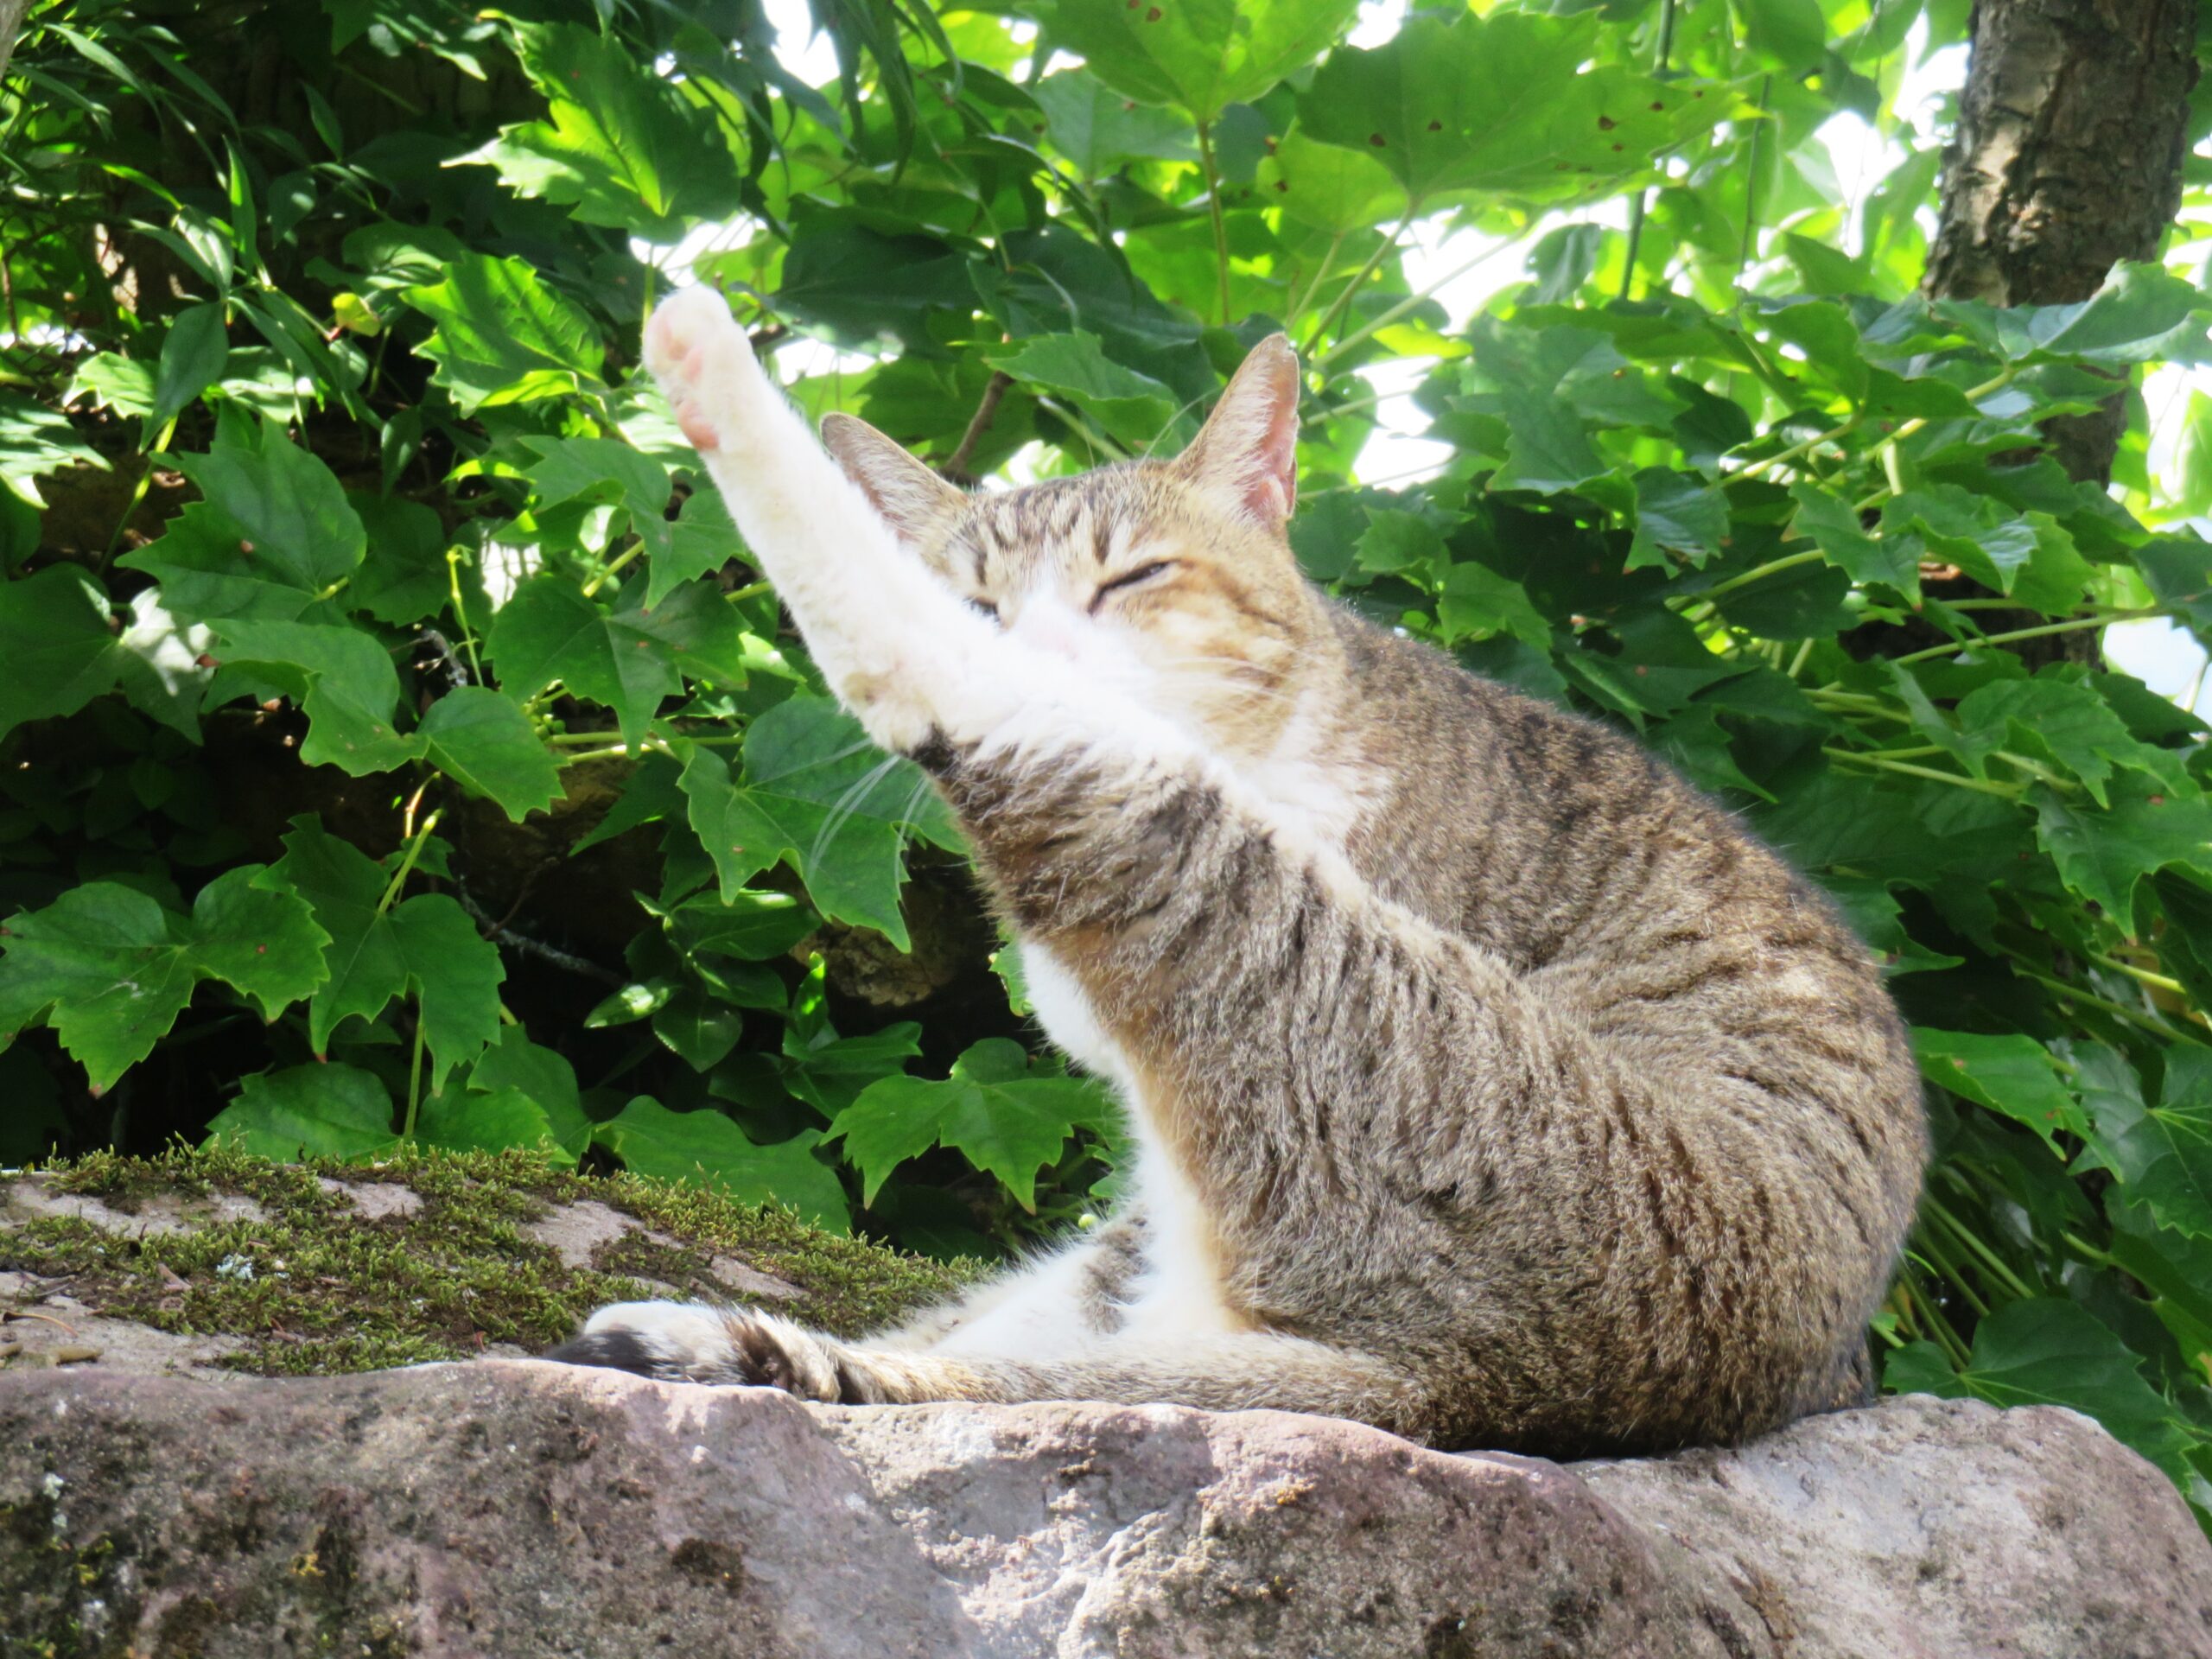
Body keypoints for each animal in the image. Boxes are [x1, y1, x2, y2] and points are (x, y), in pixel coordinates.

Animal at [543, 289, 1929, 1451]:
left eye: (1133, 577)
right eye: (988, 595)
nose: (1036, 641)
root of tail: (1485, 1385)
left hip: (1314, 984)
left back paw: (707, 360)